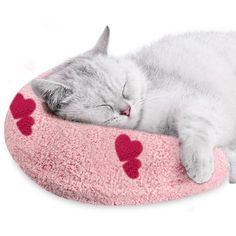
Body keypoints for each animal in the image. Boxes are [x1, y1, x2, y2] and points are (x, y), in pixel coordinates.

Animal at [32, 26, 236, 184]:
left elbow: (198, 129)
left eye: (124, 86)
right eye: (103, 105)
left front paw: (198, 163)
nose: (126, 110)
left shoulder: (200, 103)